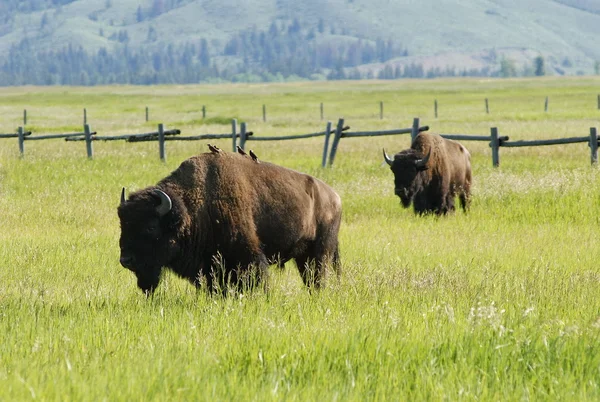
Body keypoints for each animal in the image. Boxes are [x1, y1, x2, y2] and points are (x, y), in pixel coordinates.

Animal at [117, 149, 342, 294]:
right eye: (123, 225)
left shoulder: (249, 257)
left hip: (319, 253)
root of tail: (335, 196)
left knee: (317, 278)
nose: (126, 260)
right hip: (304, 256)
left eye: (151, 227)